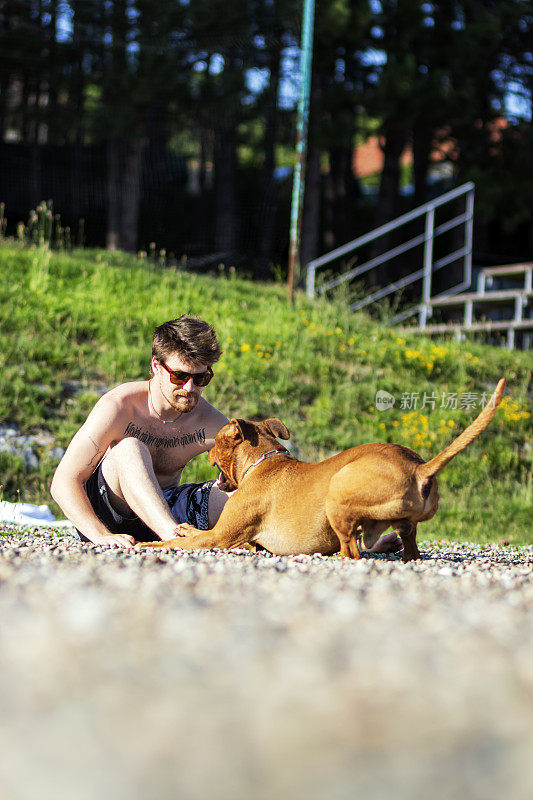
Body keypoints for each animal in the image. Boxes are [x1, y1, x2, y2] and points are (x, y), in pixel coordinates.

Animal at [139, 378, 504, 560]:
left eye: (216, 441)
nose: (207, 448)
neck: (264, 462)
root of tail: (418, 467)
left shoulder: (219, 537)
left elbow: (179, 542)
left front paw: (149, 545)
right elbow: (191, 535)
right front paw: (184, 528)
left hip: (338, 490)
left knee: (351, 553)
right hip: (403, 527)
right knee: (409, 551)